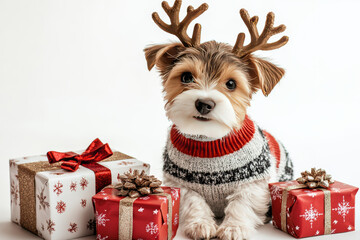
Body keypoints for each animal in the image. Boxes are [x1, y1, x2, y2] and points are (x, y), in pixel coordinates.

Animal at [143, 0, 292, 239]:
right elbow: (194, 202)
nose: (204, 103)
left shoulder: (254, 183)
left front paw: (233, 227)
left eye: (231, 83)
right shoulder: (181, 184)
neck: (209, 141)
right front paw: (200, 224)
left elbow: (242, 204)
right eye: (186, 77)